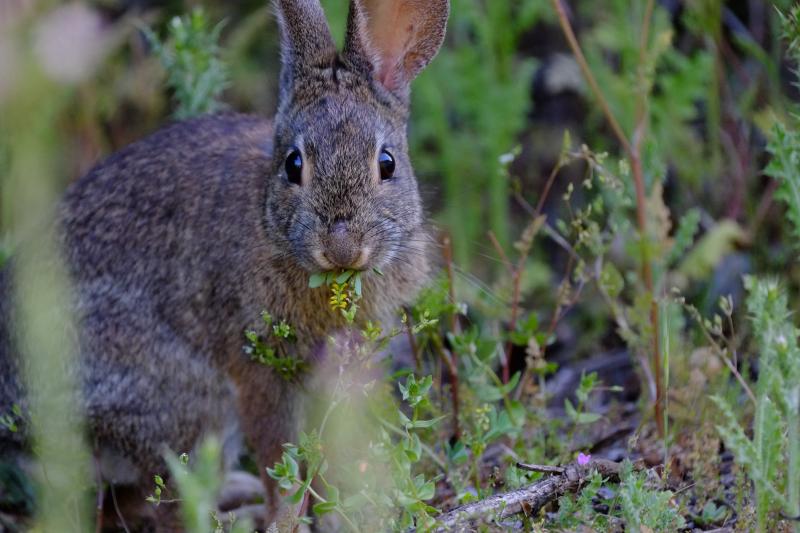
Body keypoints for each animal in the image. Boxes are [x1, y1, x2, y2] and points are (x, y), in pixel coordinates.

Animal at [0, 0, 450, 528]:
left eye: (387, 163)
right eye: (294, 165)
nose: (341, 247)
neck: (268, 221)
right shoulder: (257, 366)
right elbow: (281, 457)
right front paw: (285, 521)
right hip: (184, 403)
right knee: (149, 503)